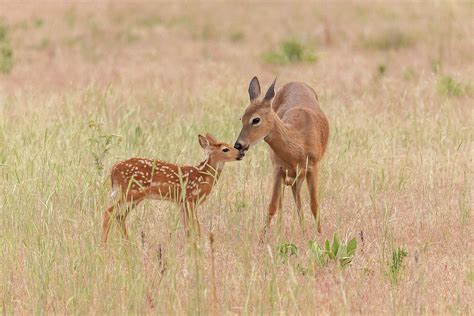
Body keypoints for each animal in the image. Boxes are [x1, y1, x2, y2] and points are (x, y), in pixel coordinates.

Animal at [103, 133, 244, 244]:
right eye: (225, 149)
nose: (241, 153)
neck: (203, 175)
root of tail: (113, 170)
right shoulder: (190, 199)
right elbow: (196, 226)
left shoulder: (182, 203)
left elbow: (187, 228)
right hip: (130, 192)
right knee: (108, 212)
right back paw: (104, 245)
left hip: (135, 196)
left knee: (120, 216)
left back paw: (129, 243)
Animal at [234, 77, 330, 233]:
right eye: (241, 118)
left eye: (256, 119)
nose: (238, 145)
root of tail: (295, 82)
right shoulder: (278, 168)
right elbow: (272, 206)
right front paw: (263, 236)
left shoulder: (313, 166)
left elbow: (314, 204)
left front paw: (320, 234)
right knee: (285, 198)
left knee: (296, 194)